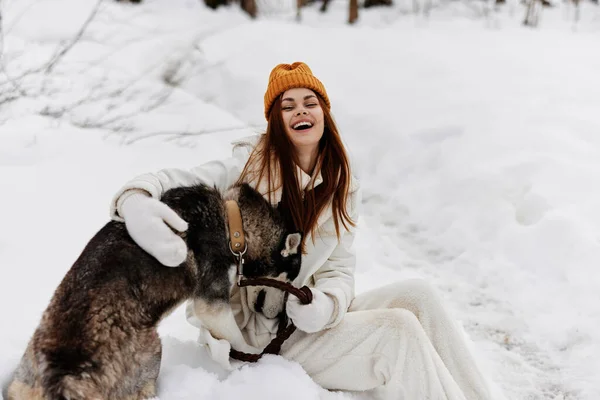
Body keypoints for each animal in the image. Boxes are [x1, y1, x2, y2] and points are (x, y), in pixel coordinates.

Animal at [7, 184, 302, 400]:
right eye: (289, 278)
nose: (281, 319)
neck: (234, 222)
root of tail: (62, 376)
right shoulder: (212, 301)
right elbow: (238, 340)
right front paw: (252, 359)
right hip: (152, 348)